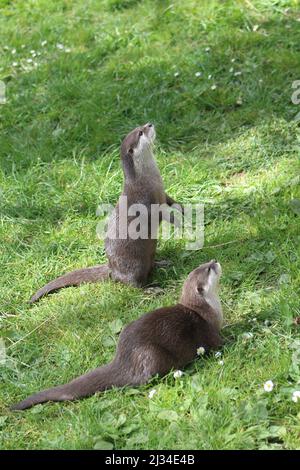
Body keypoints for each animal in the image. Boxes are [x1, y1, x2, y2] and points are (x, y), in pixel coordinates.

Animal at [10, 260, 223, 412]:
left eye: (204, 265)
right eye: (209, 269)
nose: (214, 260)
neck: (206, 308)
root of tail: (124, 359)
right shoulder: (211, 331)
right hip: (153, 355)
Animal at [30, 123, 182, 302]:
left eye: (141, 126)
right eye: (140, 132)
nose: (150, 124)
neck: (148, 179)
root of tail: (112, 269)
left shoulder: (162, 192)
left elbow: (171, 200)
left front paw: (182, 209)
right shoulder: (146, 200)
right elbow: (160, 214)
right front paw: (177, 222)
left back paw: (162, 262)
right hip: (134, 265)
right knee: (133, 285)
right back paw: (152, 289)